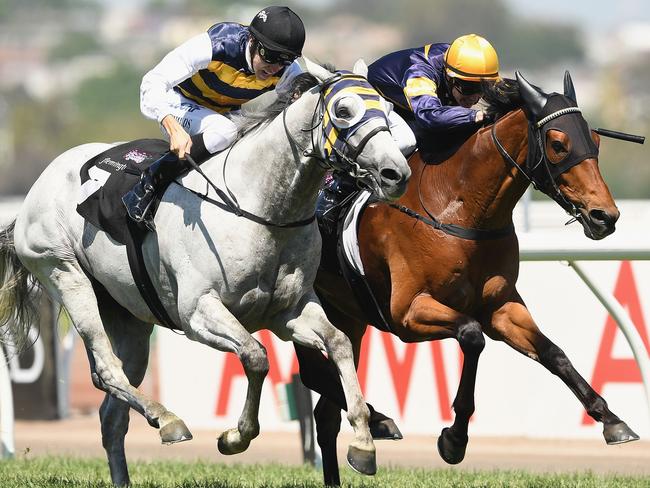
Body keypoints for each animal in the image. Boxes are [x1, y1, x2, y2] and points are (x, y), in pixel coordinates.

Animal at [0, 61, 408, 484]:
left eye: (387, 108)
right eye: (344, 110)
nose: (396, 173)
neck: (261, 209)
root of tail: (33, 192)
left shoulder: (289, 311)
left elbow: (340, 344)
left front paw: (364, 443)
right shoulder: (198, 313)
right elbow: (256, 356)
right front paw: (235, 437)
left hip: (127, 316)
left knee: (112, 412)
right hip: (65, 273)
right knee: (107, 369)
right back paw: (168, 419)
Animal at [294, 70, 636, 486]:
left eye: (596, 141)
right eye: (558, 144)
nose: (606, 216)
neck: (460, 209)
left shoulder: (501, 308)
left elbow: (554, 353)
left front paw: (611, 419)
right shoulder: (408, 313)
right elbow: (472, 337)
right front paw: (454, 438)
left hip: (348, 318)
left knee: (327, 408)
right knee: (314, 376)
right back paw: (380, 420)